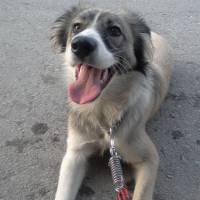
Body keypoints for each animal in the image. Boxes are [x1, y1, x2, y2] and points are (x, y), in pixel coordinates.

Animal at [50, 5, 171, 200]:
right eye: (76, 27)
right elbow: (63, 194)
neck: (102, 111)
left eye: (115, 30)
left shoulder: (149, 159)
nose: (81, 45)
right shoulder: (75, 154)